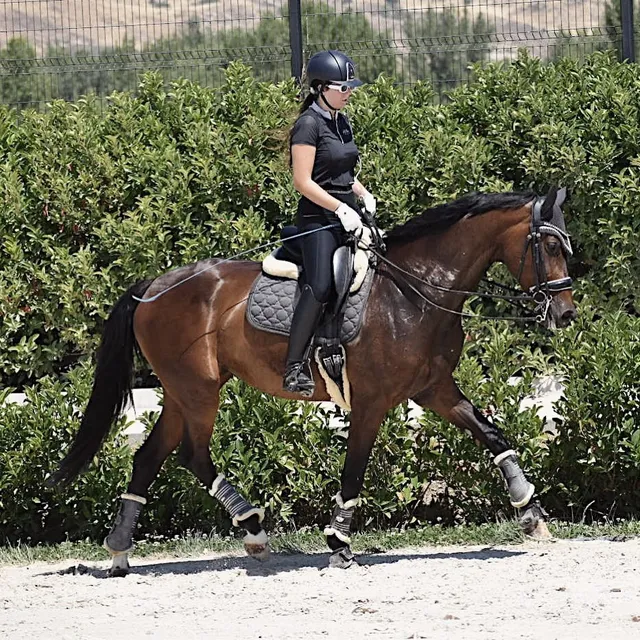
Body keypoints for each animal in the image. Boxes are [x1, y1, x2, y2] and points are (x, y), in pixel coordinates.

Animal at [52, 185, 576, 576]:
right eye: (551, 246)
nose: (566, 313)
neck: (415, 290)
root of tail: (153, 287)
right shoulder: (372, 402)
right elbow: (354, 470)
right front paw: (339, 541)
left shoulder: (435, 390)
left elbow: (493, 435)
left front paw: (530, 511)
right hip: (198, 391)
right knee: (191, 454)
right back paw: (253, 526)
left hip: (184, 394)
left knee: (150, 456)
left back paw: (122, 551)